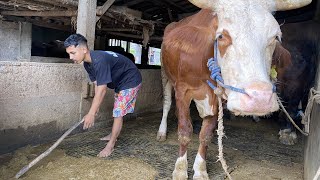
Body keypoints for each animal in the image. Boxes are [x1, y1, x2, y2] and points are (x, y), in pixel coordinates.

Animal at [158, 0, 312, 179]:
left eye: (276, 37)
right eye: (221, 36)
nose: (259, 99)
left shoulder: (216, 98)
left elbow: (206, 135)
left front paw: (201, 169)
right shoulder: (183, 91)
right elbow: (184, 132)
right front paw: (180, 169)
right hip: (165, 74)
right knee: (167, 104)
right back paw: (162, 132)